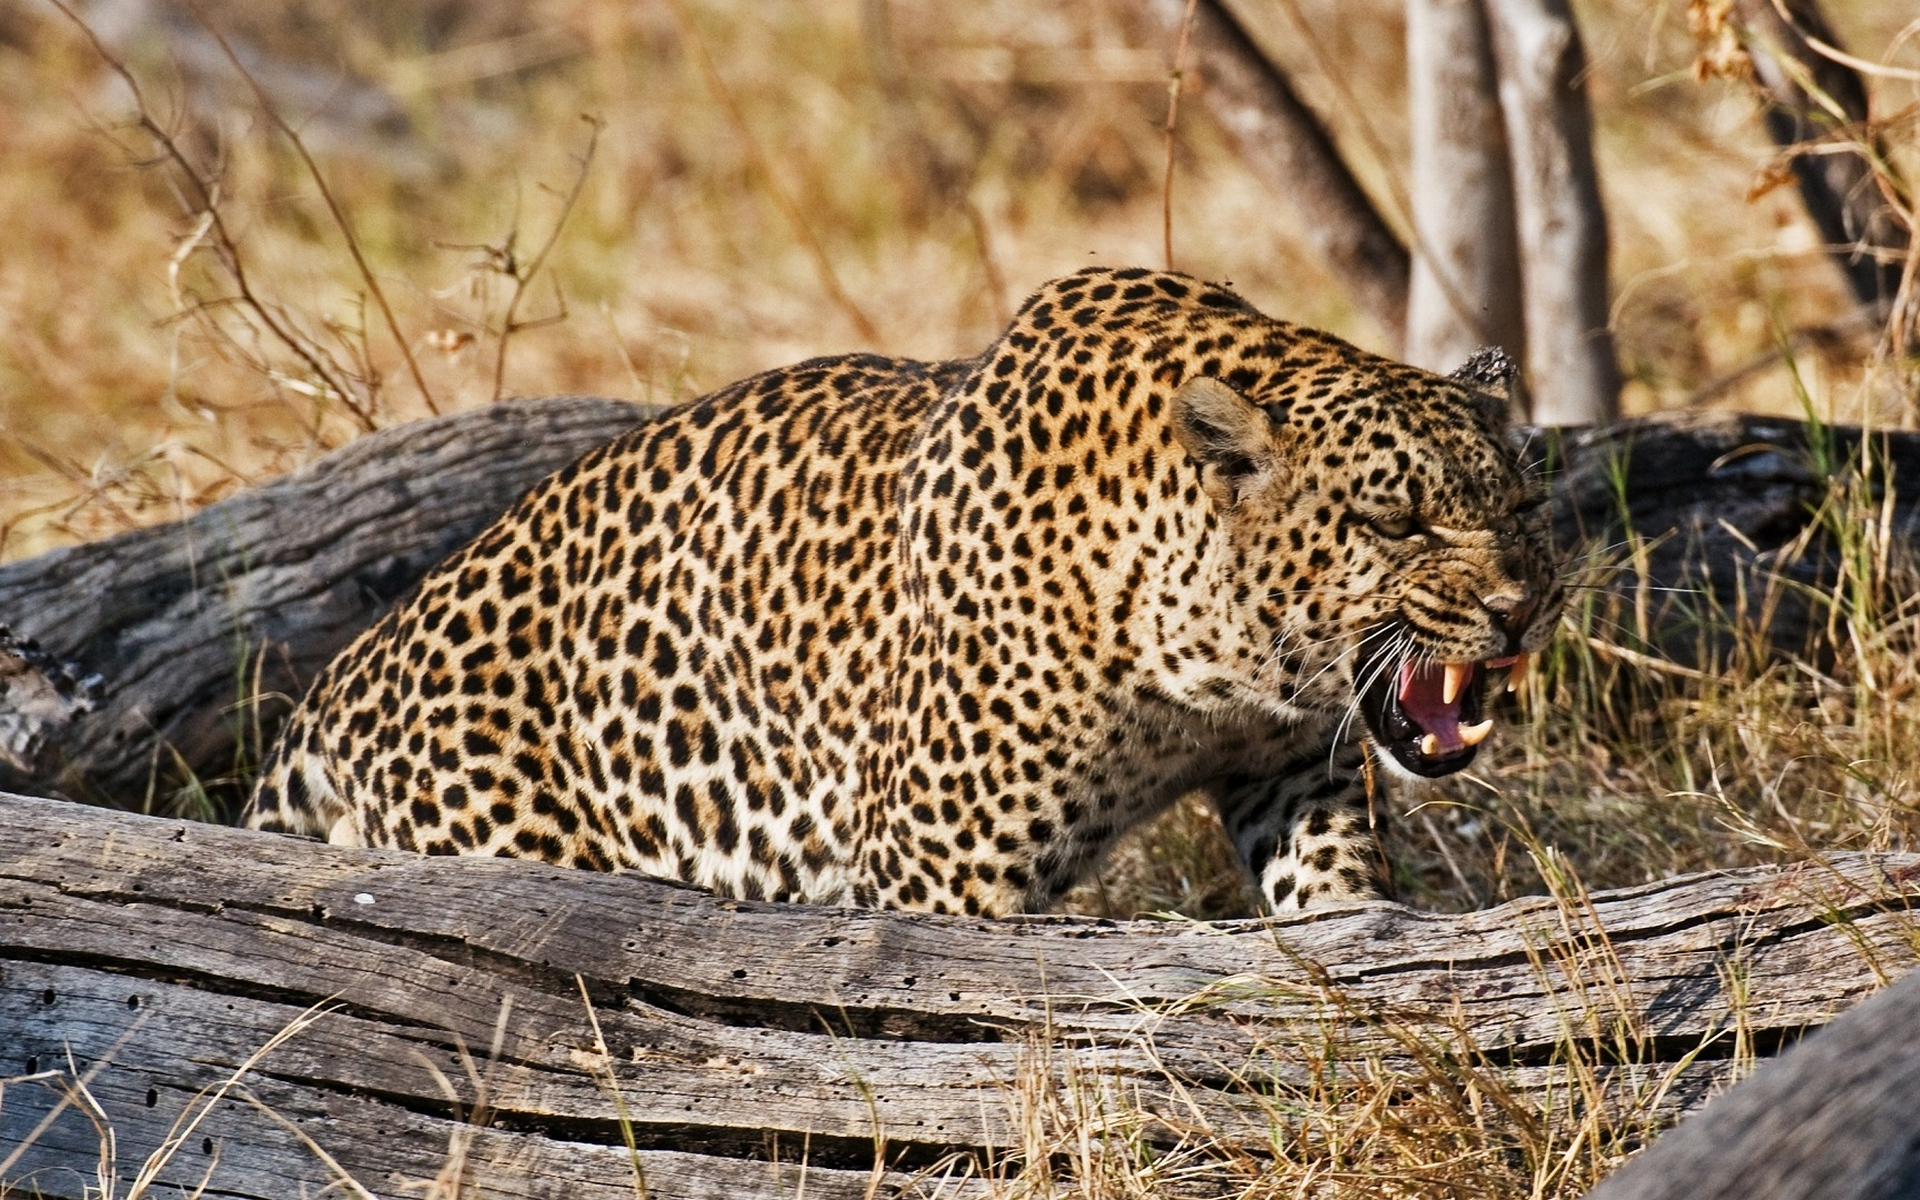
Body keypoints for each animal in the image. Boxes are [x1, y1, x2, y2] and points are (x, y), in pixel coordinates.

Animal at [243, 266, 1559, 913]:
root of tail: (337, 688)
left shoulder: (1292, 769)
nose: (1517, 613)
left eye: (1522, 511)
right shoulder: (945, 872)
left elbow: (1335, 896)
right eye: (1397, 521)